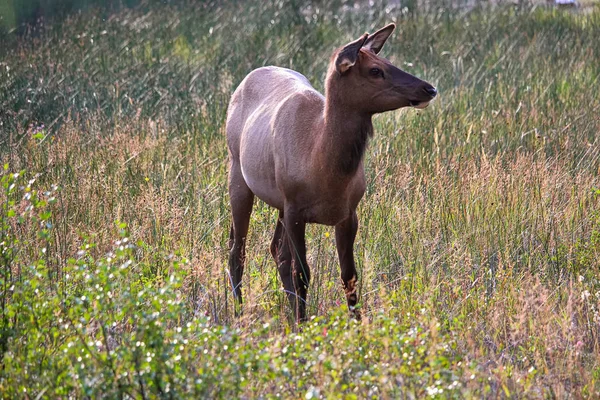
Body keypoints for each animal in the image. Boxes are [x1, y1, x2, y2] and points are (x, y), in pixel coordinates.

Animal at [225, 22, 436, 322]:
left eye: (387, 61)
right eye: (375, 70)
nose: (429, 89)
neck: (324, 170)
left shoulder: (348, 213)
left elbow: (349, 276)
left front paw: (357, 325)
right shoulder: (295, 209)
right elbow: (302, 273)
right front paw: (303, 325)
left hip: (278, 200)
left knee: (276, 251)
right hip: (237, 172)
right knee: (238, 250)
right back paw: (239, 312)